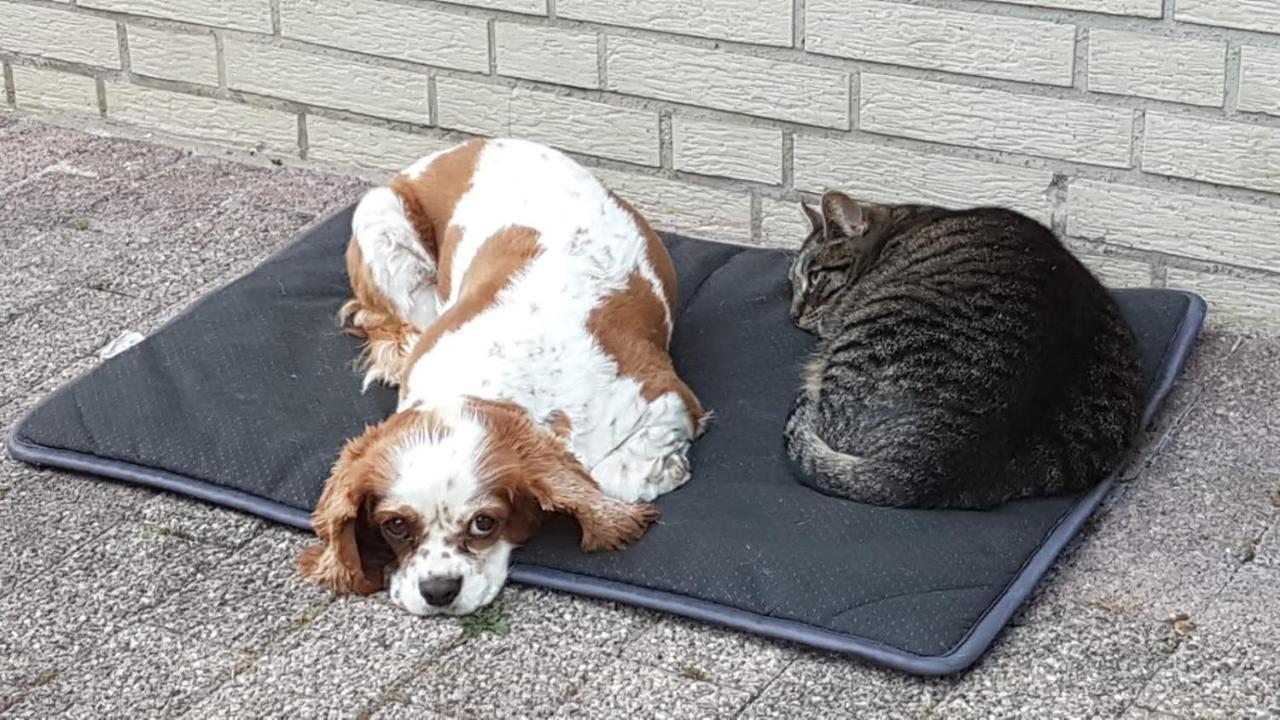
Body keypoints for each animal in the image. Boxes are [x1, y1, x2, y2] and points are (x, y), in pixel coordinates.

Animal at [295, 135, 706, 609]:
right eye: (395, 526)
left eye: (484, 523)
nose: (438, 591)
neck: (483, 384)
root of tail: (472, 144)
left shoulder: (666, 398)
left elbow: (610, 477)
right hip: (381, 221)